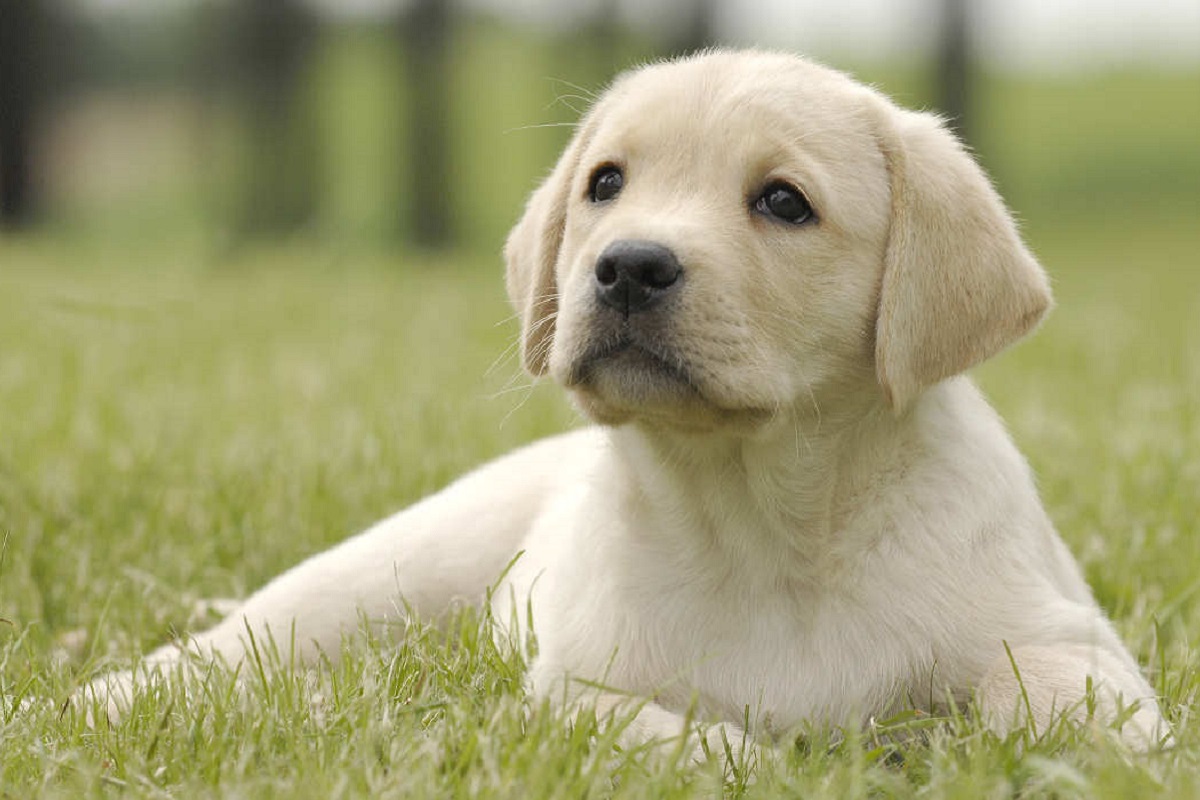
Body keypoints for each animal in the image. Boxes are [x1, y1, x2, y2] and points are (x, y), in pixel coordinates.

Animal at [82, 51, 1161, 758]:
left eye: (785, 202)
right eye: (606, 183)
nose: (629, 266)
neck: (765, 521)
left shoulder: (1073, 639)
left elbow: (1070, 701)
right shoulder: (572, 687)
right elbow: (674, 738)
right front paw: (760, 763)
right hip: (383, 573)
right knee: (236, 646)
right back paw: (101, 695)